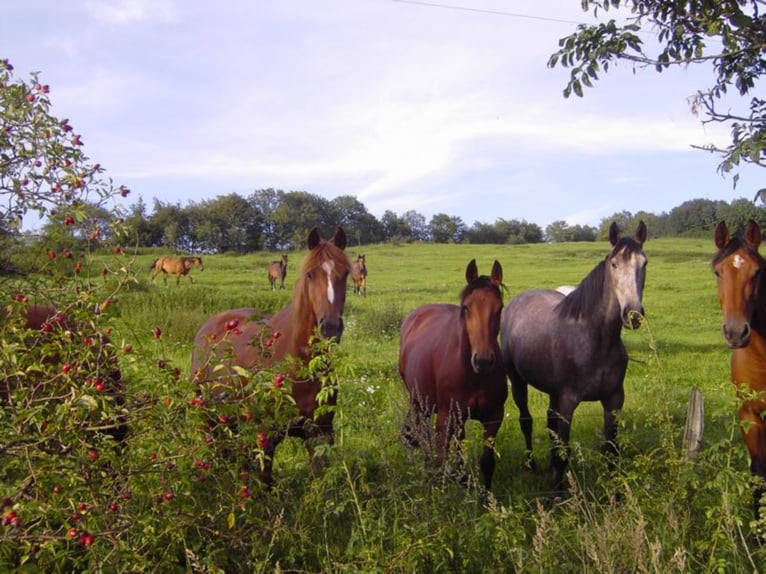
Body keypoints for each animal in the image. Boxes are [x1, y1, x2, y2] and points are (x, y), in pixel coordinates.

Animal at [191, 227, 352, 488]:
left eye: (346, 274)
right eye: (310, 274)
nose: (329, 328)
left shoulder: (319, 434)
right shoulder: (266, 437)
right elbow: (264, 483)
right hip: (208, 421)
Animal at [400, 260, 508, 490]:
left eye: (500, 308)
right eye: (466, 308)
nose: (483, 361)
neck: (474, 375)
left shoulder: (494, 417)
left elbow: (487, 463)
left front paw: (486, 496)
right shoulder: (445, 418)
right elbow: (441, 459)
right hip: (418, 403)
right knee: (424, 435)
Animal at [500, 220, 644, 500]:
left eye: (644, 263)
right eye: (613, 264)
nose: (632, 314)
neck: (595, 340)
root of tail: (516, 301)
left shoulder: (614, 400)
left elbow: (612, 449)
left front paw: (616, 495)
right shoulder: (568, 402)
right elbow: (564, 449)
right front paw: (558, 494)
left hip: (552, 392)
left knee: (549, 421)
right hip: (518, 381)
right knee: (527, 420)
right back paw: (531, 464)